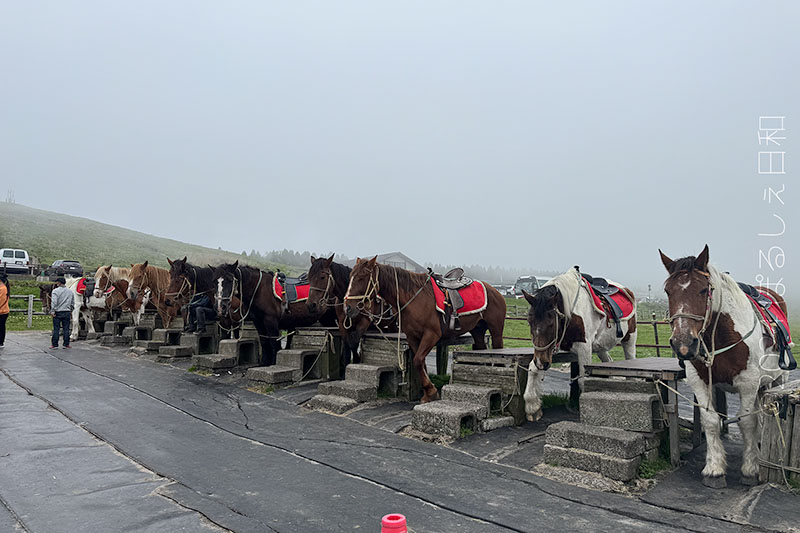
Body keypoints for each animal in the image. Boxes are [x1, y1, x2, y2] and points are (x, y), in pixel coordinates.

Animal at [344, 256, 506, 402]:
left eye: (362, 278)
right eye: (350, 277)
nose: (348, 307)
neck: (414, 298)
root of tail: (496, 291)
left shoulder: (431, 334)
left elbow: (417, 360)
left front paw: (431, 392)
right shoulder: (413, 337)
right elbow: (420, 363)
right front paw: (429, 392)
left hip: (496, 330)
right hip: (477, 331)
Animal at [520, 268, 640, 422]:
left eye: (551, 323)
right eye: (530, 321)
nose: (543, 363)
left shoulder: (584, 348)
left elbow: (583, 380)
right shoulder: (547, 351)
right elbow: (532, 368)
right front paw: (532, 406)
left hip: (629, 338)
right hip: (600, 347)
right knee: (608, 361)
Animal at [660, 245, 792, 486]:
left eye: (703, 290)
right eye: (668, 291)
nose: (683, 343)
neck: (722, 336)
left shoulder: (748, 383)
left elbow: (747, 421)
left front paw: (750, 469)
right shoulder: (700, 381)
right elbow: (711, 420)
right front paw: (714, 469)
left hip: (779, 378)